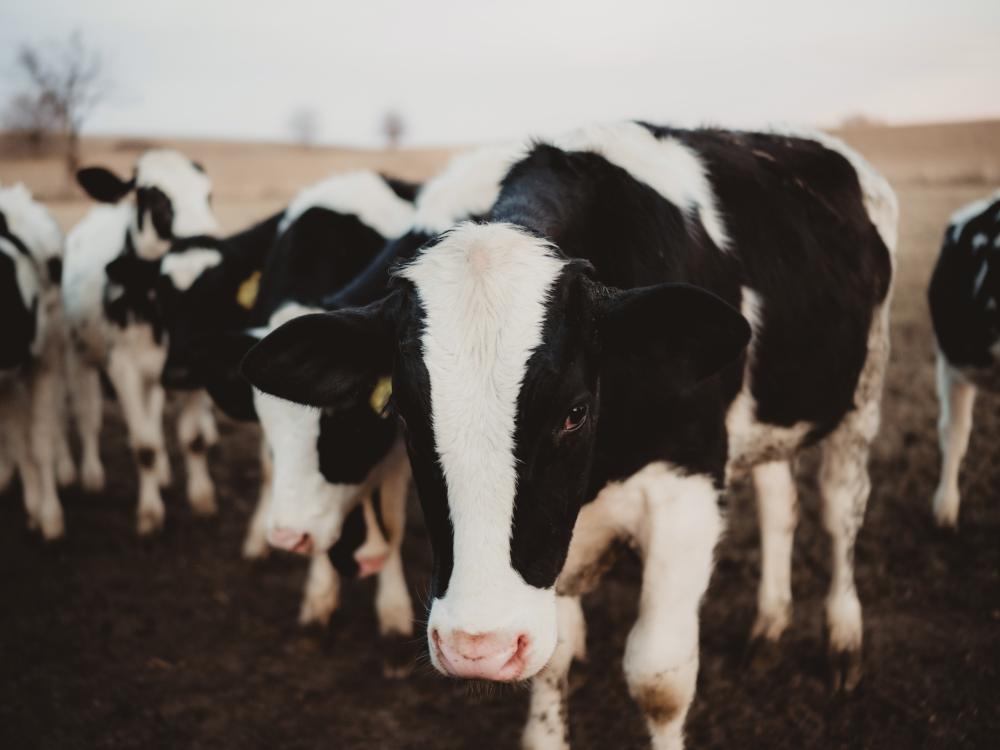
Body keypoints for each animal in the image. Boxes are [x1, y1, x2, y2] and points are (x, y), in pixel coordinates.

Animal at [62, 150, 221, 536]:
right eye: (154, 197)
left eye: (209, 195)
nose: (208, 243)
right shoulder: (123, 370)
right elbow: (144, 445)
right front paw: (150, 513)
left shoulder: (197, 365)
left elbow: (193, 440)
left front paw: (202, 498)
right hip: (76, 355)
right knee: (87, 417)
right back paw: (89, 474)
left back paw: (163, 473)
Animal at [244, 122, 900, 748]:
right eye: (402, 413)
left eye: (575, 412)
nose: (479, 646)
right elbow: (554, 657)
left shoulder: (686, 494)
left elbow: (659, 679)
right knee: (779, 503)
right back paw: (768, 627)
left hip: (863, 395)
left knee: (839, 512)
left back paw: (843, 642)